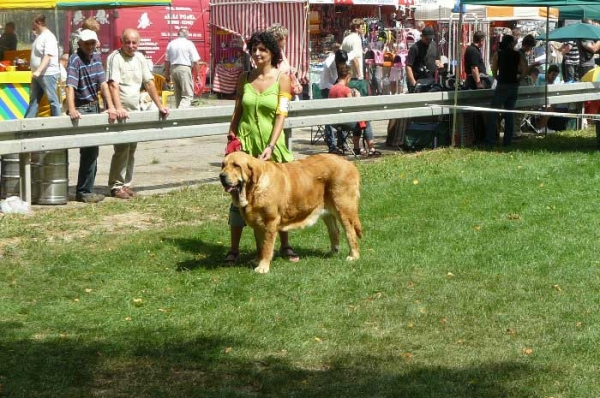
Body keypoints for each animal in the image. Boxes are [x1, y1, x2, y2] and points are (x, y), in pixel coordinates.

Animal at [219, 152, 360, 274]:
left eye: (236, 165)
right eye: (223, 165)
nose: (221, 176)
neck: (253, 189)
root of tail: (349, 163)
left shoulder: (270, 222)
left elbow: (267, 247)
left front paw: (263, 267)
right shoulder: (257, 224)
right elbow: (260, 246)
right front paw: (257, 261)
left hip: (343, 208)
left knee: (350, 232)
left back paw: (353, 256)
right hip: (327, 211)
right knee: (334, 231)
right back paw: (333, 252)